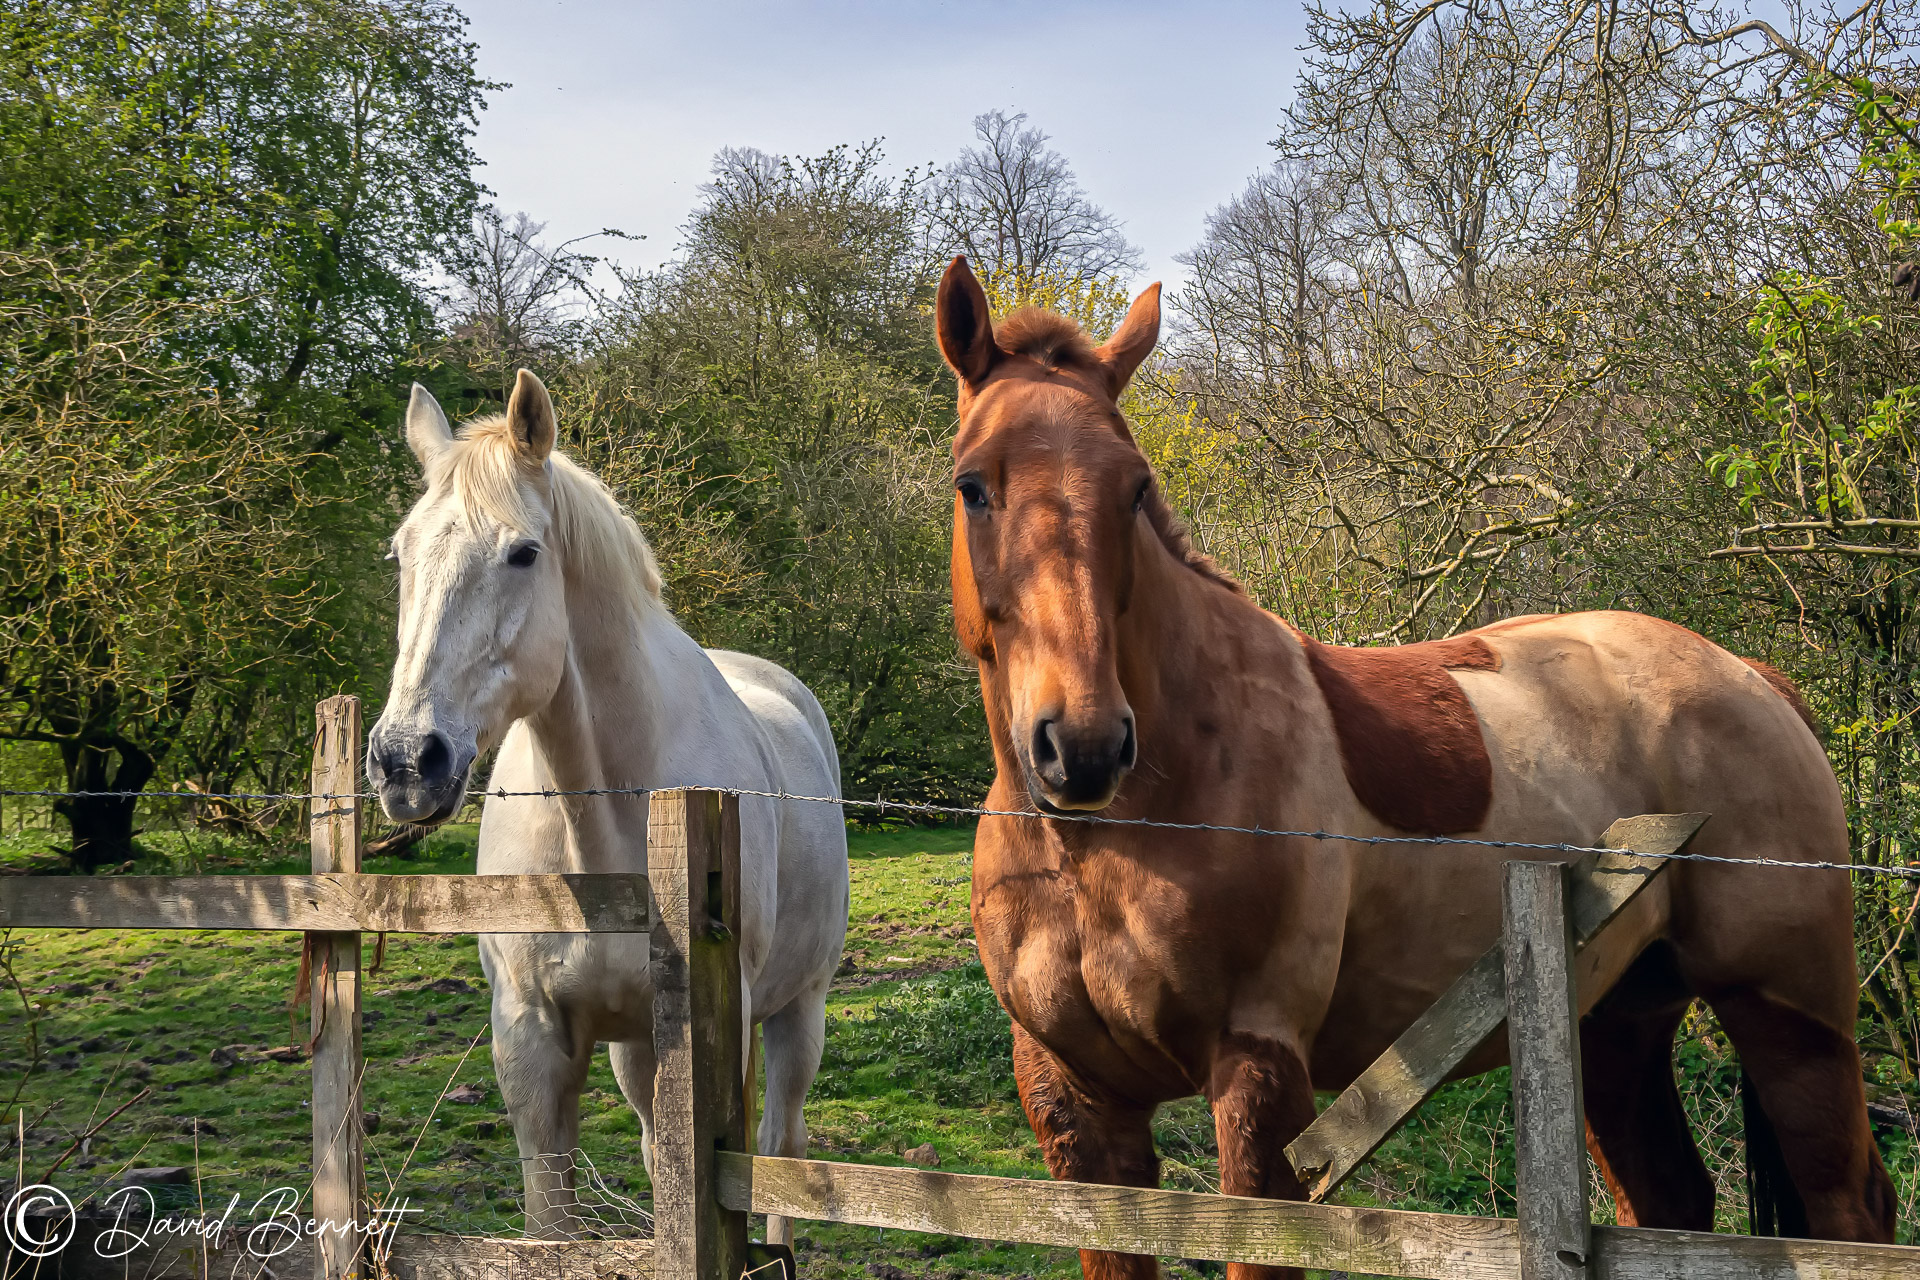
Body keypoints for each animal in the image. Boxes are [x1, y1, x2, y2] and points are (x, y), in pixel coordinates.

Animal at [367, 370, 849, 1242]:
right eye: (401, 554)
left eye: (523, 552)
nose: (407, 761)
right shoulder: (532, 1040)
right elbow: (555, 1222)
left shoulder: (703, 1032)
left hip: (801, 1007)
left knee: (780, 1151)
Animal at [932, 255, 1896, 1280]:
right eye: (973, 486)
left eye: (1133, 488)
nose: (1082, 747)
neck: (1110, 839)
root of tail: (1750, 676)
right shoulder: (1079, 1105)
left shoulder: (1258, 1074)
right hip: (1618, 1021)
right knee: (1668, 1199)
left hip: (1790, 1016)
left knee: (1851, 1211)